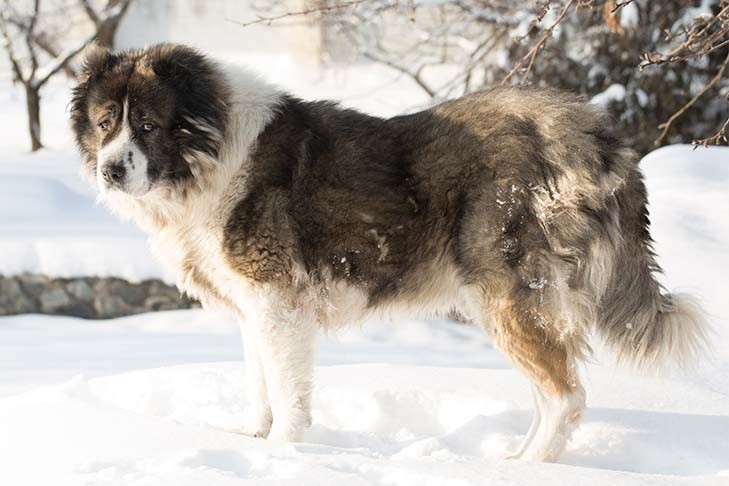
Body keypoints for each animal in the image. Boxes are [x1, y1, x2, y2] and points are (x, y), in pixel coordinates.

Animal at [71, 43, 708, 462]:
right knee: (550, 394)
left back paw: (521, 470)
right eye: (105, 124)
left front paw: (281, 455)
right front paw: (253, 441)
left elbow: (286, 391)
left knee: (565, 398)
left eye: (148, 125)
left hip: (507, 299)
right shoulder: (252, 308)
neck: (210, 154)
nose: (110, 170)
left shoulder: (279, 303)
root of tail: (587, 130)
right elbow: (259, 386)